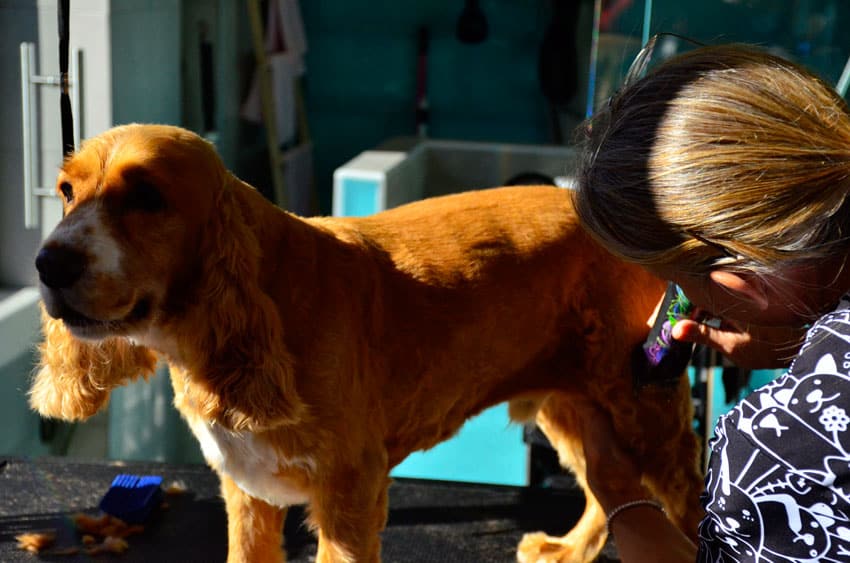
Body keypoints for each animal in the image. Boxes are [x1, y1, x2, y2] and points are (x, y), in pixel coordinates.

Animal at [28, 124, 704, 563]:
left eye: (147, 198)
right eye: (65, 191)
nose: (47, 264)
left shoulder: (350, 489)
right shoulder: (246, 489)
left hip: (640, 400)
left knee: (682, 489)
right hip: (573, 402)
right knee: (604, 485)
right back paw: (569, 548)